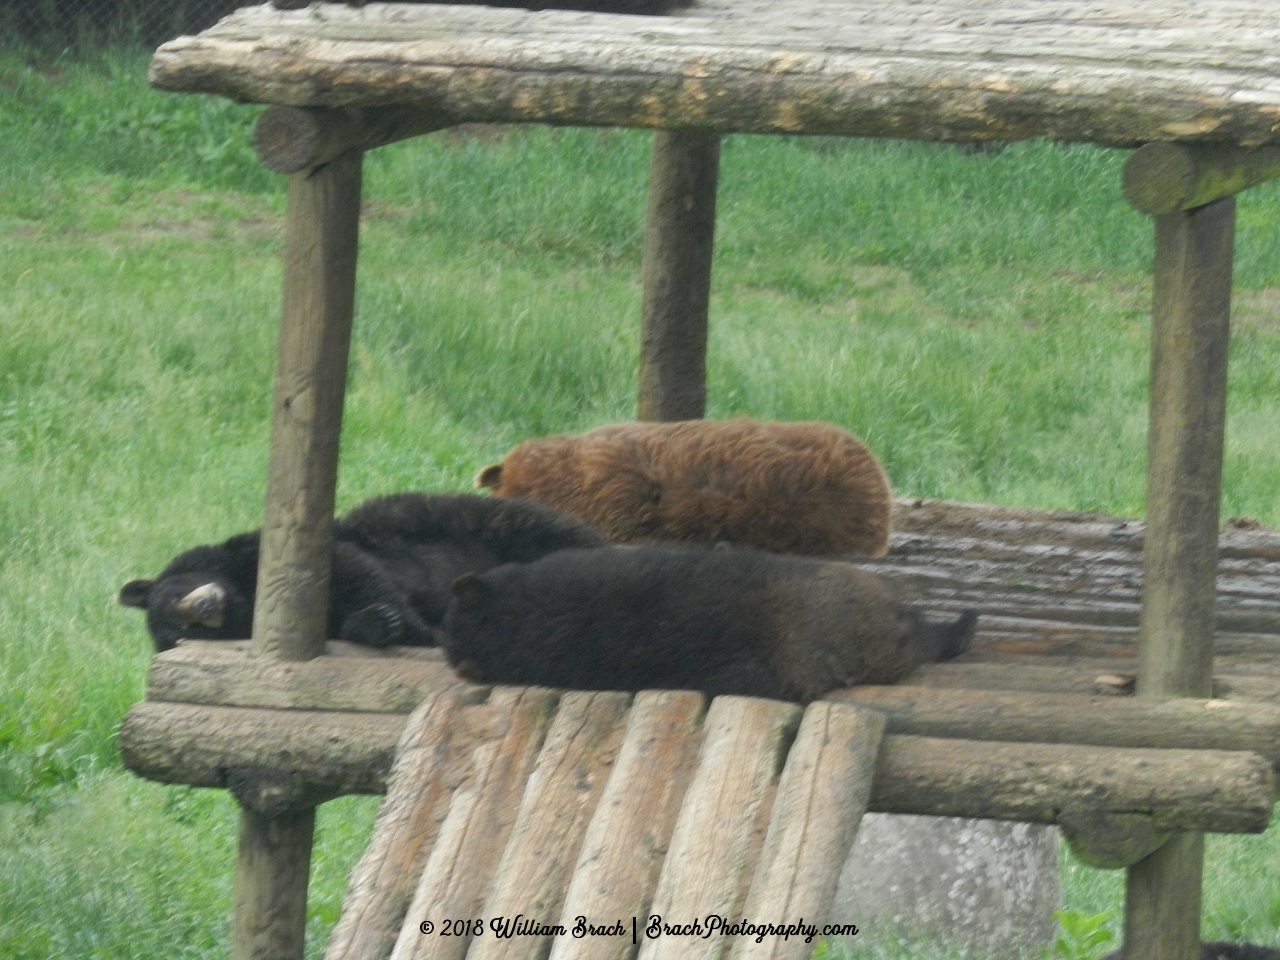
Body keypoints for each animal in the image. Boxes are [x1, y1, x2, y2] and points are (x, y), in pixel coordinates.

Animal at [117, 496, 606, 655]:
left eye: (173, 595)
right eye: (183, 629)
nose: (204, 604)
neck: (245, 594)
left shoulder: (263, 551)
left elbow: (354, 570)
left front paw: (401, 620)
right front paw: (380, 624)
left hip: (478, 520)